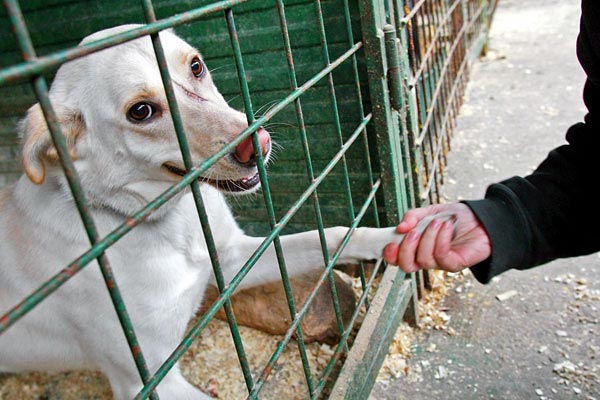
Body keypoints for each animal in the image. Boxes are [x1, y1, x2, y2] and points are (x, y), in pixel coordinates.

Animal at [0, 25, 446, 400]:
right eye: (140, 111)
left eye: (196, 66)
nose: (258, 142)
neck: (174, 224)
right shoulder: (149, 383)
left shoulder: (231, 260)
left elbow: (336, 234)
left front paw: (411, 234)